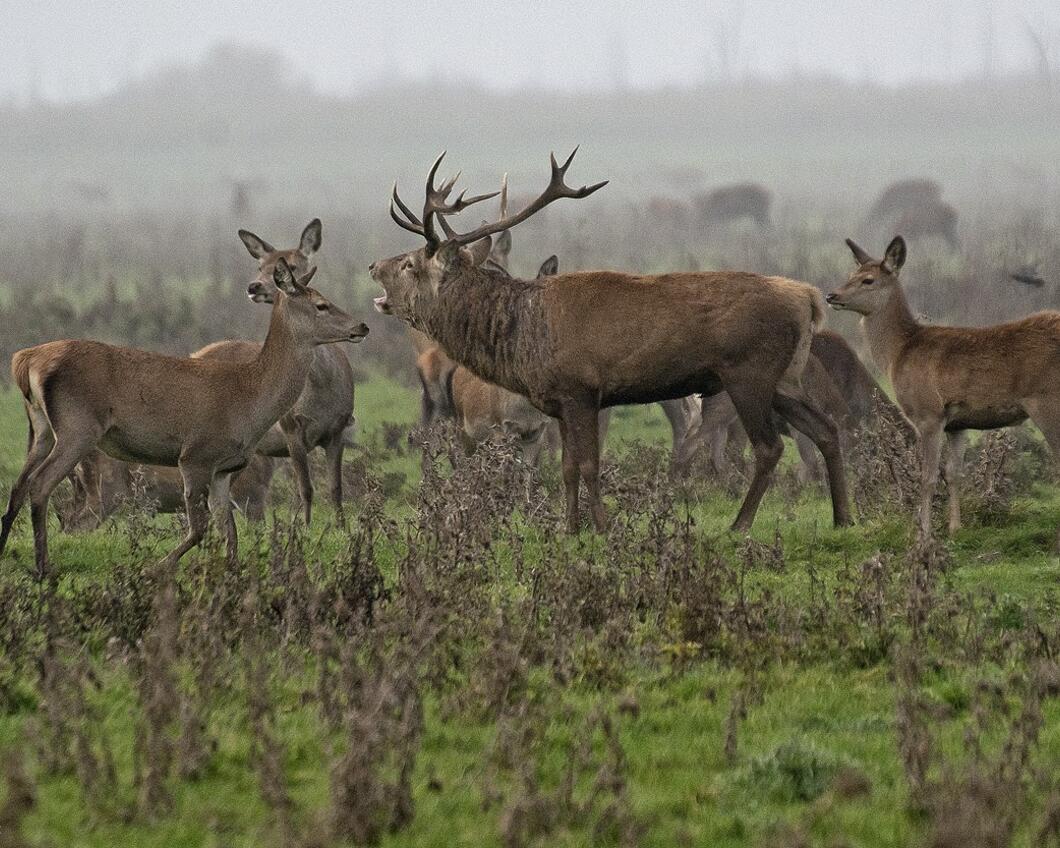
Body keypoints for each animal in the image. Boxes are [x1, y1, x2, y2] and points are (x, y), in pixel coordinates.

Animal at [0, 261, 368, 572]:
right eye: (321, 304)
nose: (362, 326)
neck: (250, 404)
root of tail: (25, 360)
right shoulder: (195, 455)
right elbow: (199, 529)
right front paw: (155, 567)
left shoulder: (225, 467)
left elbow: (228, 531)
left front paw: (231, 574)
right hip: (78, 427)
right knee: (40, 485)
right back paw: (43, 567)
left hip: (41, 427)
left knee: (18, 485)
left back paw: (6, 551)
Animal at [373, 147, 852, 530]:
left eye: (411, 264)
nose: (375, 266)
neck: (523, 338)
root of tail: (808, 298)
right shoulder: (559, 403)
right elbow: (567, 467)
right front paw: (569, 529)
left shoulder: (581, 389)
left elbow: (588, 464)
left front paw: (603, 527)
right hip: (785, 378)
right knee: (826, 429)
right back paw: (843, 518)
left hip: (749, 373)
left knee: (770, 447)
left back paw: (739, 524)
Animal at [826, 235, 1060, 540]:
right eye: (850, 274)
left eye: (868, 280)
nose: (831, 296)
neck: (898, 353)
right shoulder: (957, 423)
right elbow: (953, 473)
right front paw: (955, 528)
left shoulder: (928, 413)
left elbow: (927, 476)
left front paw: (924, 532)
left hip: (1045, 400)